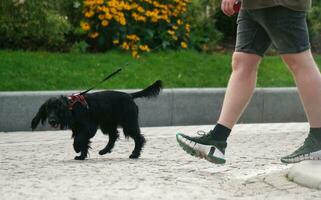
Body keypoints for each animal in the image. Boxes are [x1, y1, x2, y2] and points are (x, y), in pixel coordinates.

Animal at [31, 80, 161, 160]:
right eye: (48, 109)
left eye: (57, 109)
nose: (52, 121)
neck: (72, 107)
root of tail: (129, 95)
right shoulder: (78, 129)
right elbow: (82, 141)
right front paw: (81, 156)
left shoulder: (88, 128)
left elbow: (79, 140)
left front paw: (77, 149)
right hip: (108, 123)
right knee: (113, 135)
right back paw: (104, 151)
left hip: (128, 122)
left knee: (139, 138)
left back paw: (135, 154)